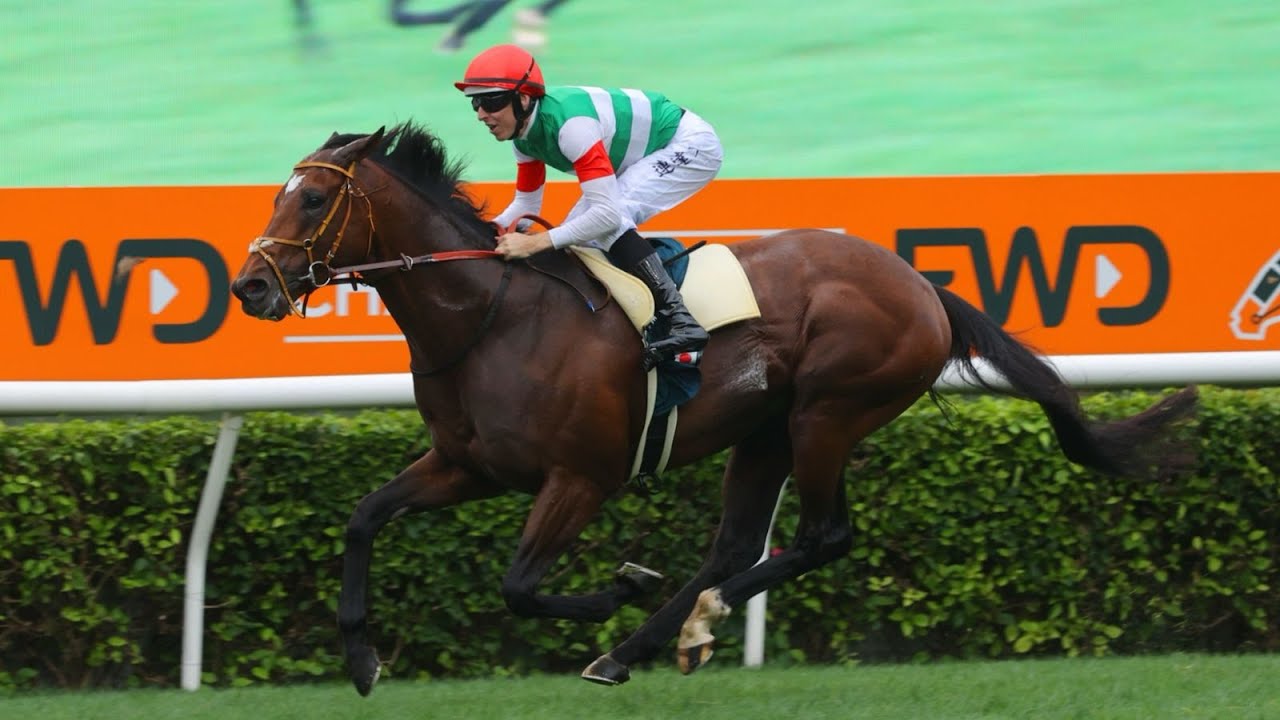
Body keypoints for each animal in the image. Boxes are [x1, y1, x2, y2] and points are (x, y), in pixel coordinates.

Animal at [230, 122, 1198, 695]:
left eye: (311, 197)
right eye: (278, 193)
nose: (249, 287)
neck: (489, 317)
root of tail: (922, 284)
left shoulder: (581, 476)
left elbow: (519, 587)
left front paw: (617, 586)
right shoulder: (467, 464)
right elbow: (363, 518)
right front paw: (361, 657)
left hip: (827, 413)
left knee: (818, 537)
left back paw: (681, 622)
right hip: (762, 428)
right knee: (736, 544)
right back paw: (643, 645)